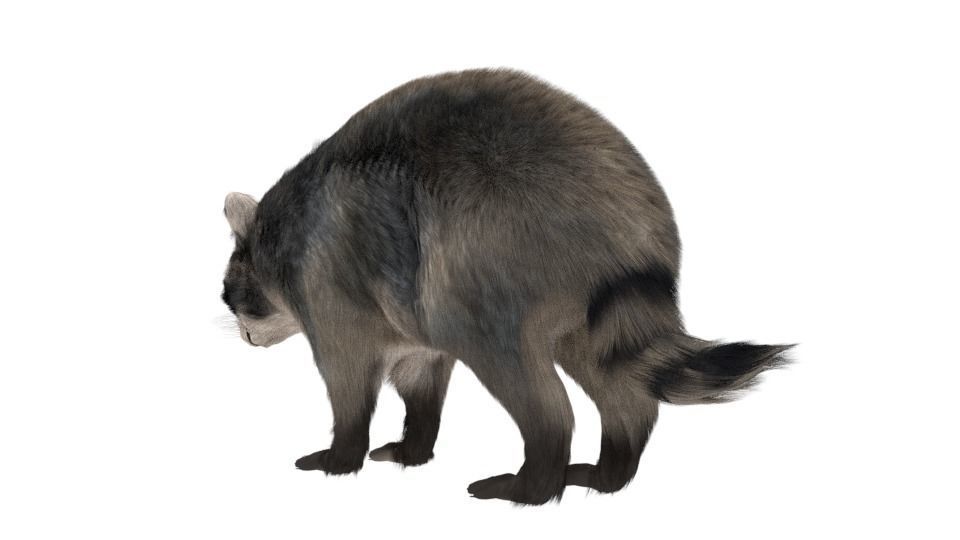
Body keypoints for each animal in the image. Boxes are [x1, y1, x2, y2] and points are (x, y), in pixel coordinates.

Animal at [220, 68, 791, 505]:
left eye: (230, 294)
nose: (243, 337)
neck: (280, 234)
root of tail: (629, 221)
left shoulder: (330, 286)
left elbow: (348, 379)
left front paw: (343, 454)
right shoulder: (401, 313)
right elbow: (420, 376)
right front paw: (414, 445)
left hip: (490, 256)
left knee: (524, 379)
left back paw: (536, 483)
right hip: (573, 298)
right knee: (606, 368)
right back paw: (613, 466)